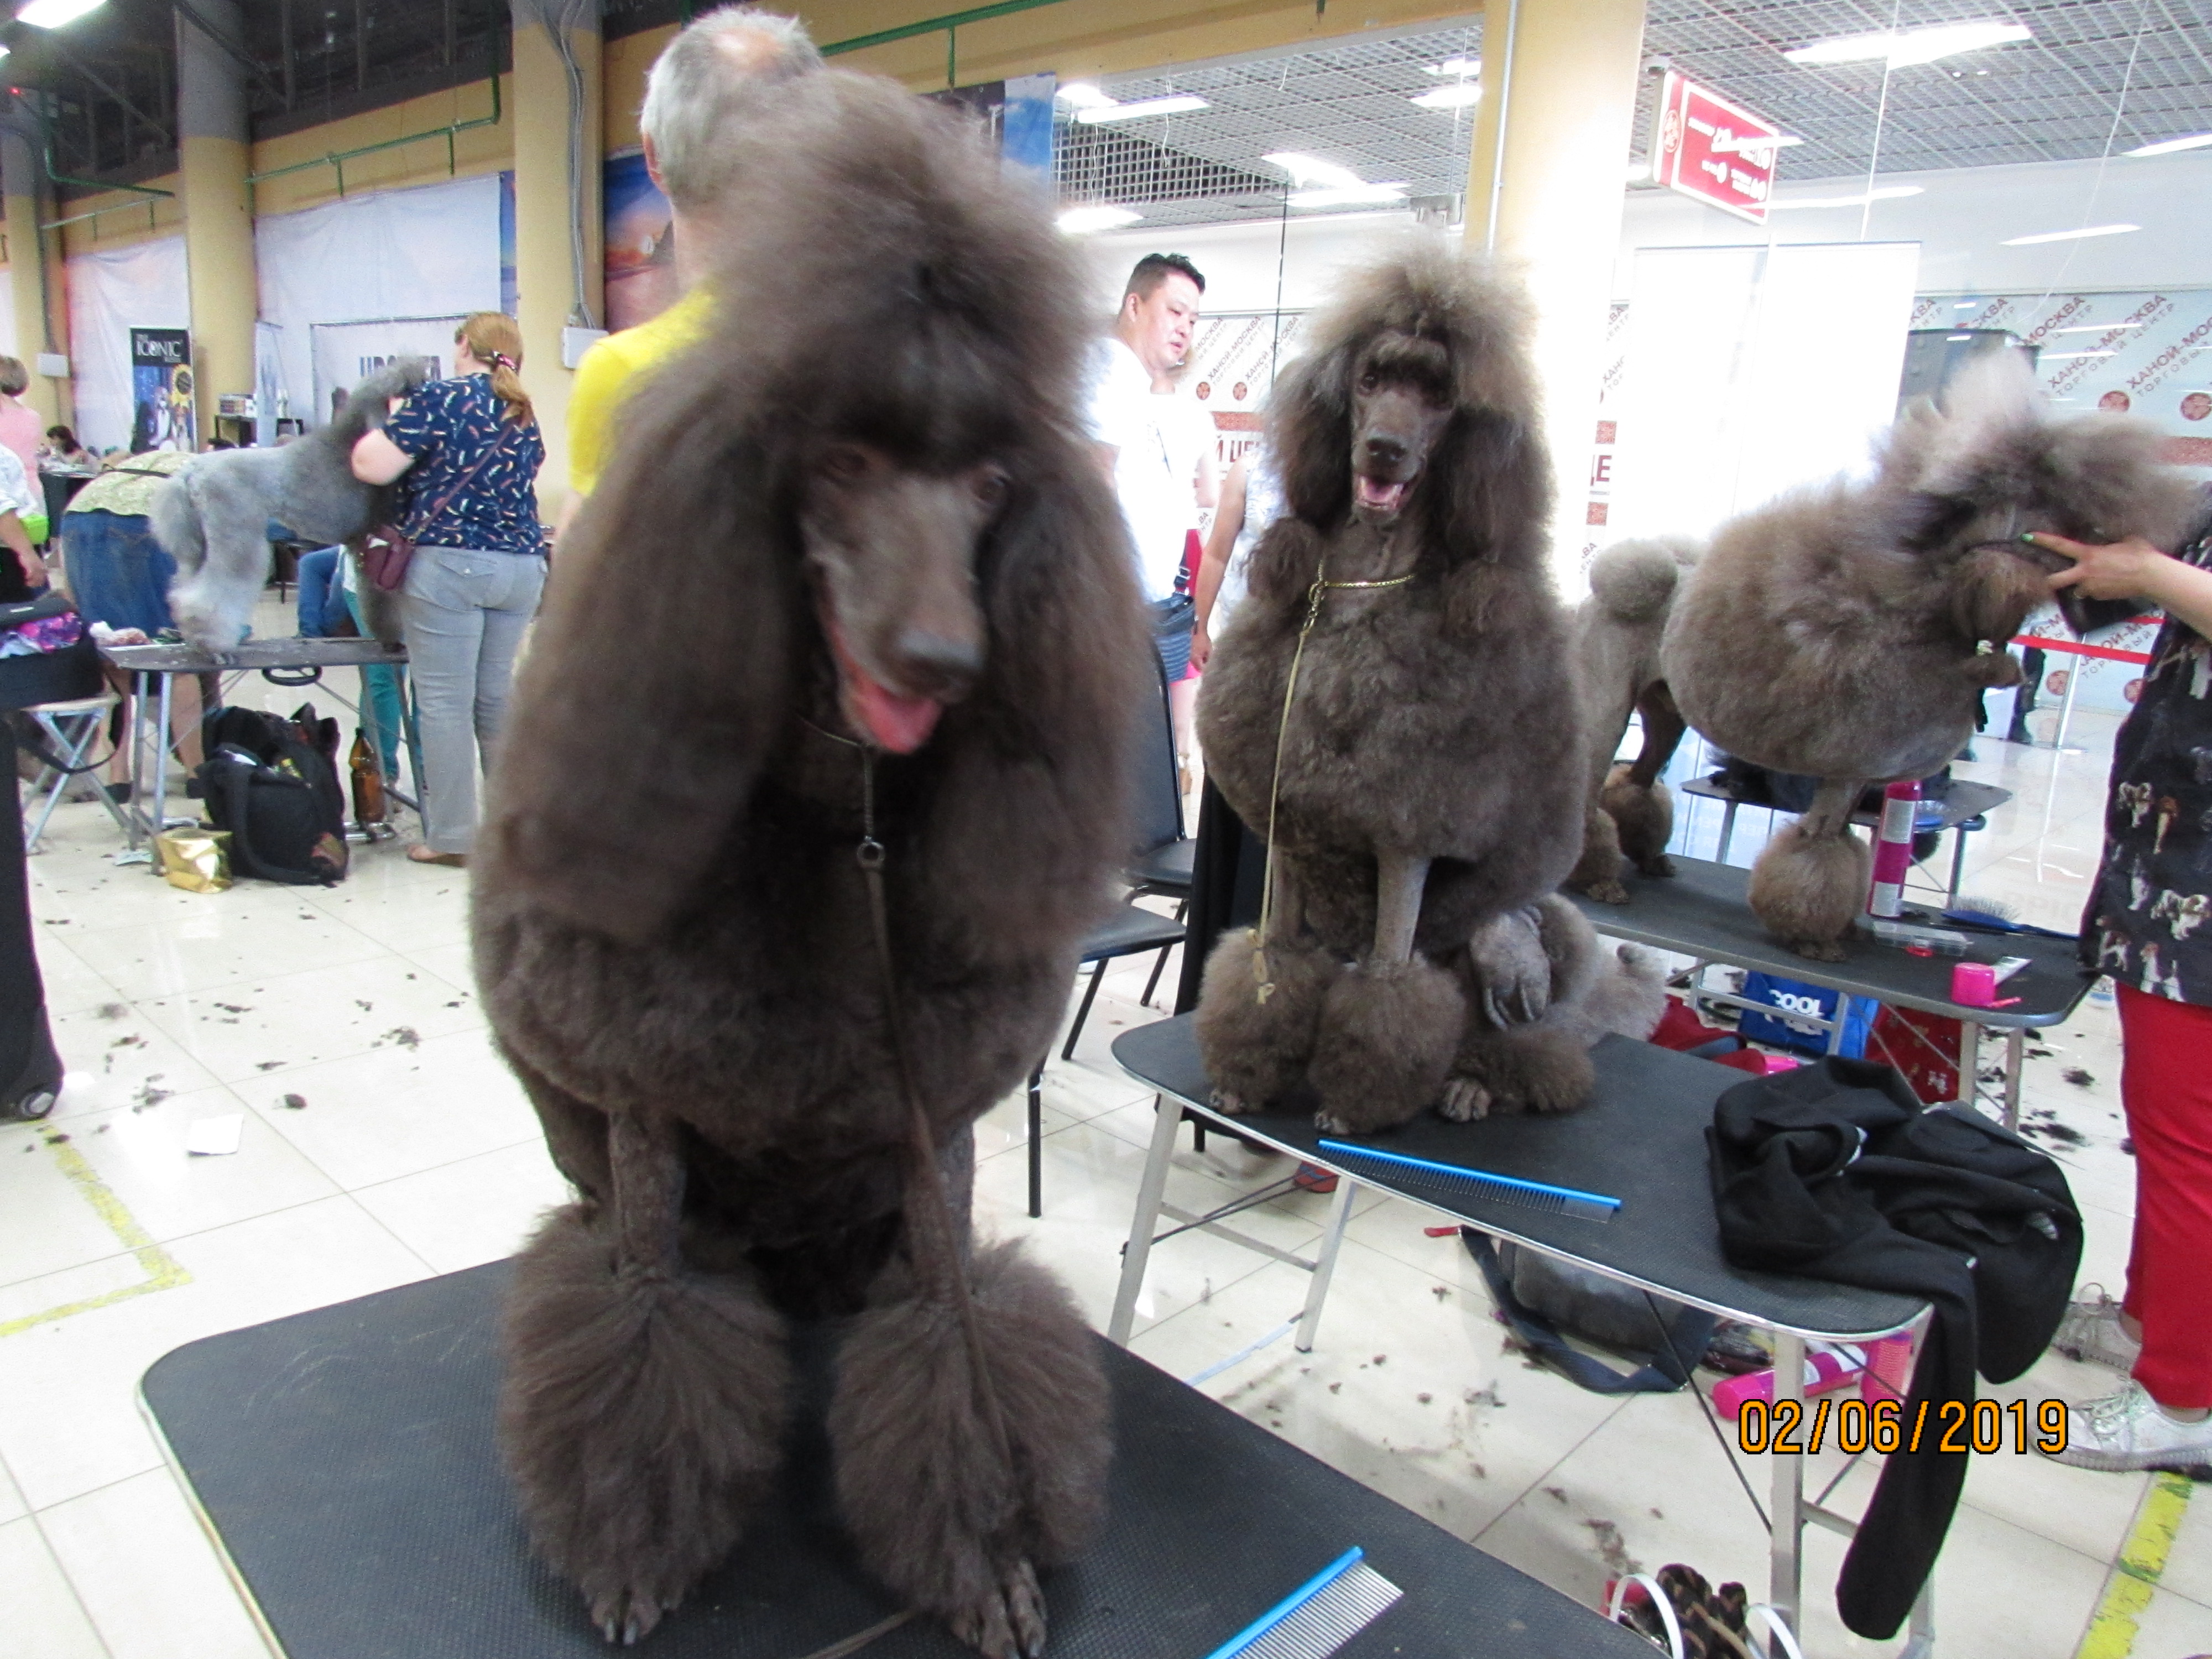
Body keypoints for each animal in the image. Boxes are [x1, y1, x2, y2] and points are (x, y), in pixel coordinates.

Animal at [149, 358, 432, 653]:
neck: (356, 439)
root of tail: (190, 472)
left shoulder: (364, 544)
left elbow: (375, 595)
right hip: (234, 529)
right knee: (216, 587)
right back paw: (214, 644)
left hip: (200, 538)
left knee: (188, 582)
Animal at [470, 72, 1146, 1657]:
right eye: (837, 461)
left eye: (988, 479)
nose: (942, 657)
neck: (844, 820)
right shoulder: (644, 1109)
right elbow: (644, 1321)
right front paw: (632, 1545)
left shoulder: (931, 1126)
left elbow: (957, 1327)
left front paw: (985, 1558)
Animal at [1193, 245, 1659, 1134]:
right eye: (1372, 379)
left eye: (1441, 398)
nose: (1382, 450)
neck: (1364, 591)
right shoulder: (1288, 823)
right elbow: (1274, 958)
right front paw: (1245, 1074)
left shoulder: (1405, 837)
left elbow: (1391, 984)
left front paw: (1356, 1105)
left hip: (1525, 952)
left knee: (1528, 1026)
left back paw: (1474, 1082)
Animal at [1663, 354, 2199, 958]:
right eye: (2088, 527)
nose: (2131, 597)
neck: (1926, 609)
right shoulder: (1852, 766)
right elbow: (1819, 842)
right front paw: (1810, 938)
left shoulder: (1863, 778)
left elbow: (1841, 844)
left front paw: (1842, 927)